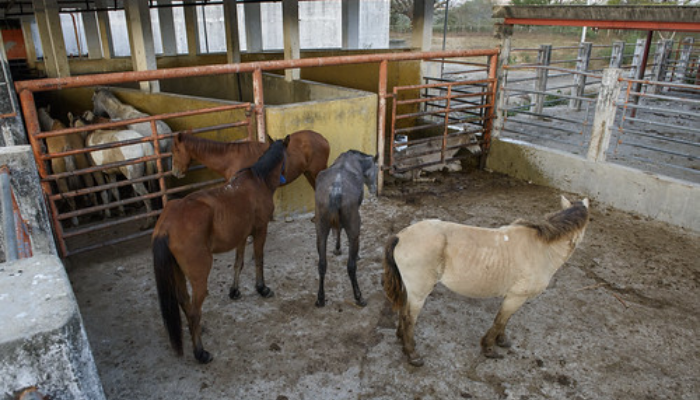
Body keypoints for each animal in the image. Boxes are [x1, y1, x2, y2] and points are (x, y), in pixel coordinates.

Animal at [152, 136, 289, 364]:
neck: (257, 180)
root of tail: (166, 224)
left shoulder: (241, 236)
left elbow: (238, 263)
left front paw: (234, 291)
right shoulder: (260, 230)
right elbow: (259, 259)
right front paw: (262, 288)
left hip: (177, 273)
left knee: (185, 303)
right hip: (199, 275)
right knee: (194, 311)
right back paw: (200, 352)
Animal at [171, 130, 330, 189]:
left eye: (176, 150)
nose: (175, 172)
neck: (230, 159)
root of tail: (323, 139)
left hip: (316, 171)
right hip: (308, 173)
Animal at [314, 150, 378, 307]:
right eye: (376, 169)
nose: (374, 189)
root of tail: (336, 190)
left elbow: (338, 229)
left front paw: (337, 248)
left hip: (320, 230)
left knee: (322, 264)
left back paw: (320, 298)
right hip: (354, 229)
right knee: (351, 266)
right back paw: (359, 297)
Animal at [383, 196, 590, 366]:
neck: (542, 249)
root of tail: (400, 236)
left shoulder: (513, 296)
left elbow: (505, 319)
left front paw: (502, 340)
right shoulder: (516, 296)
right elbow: (500, 320)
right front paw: (489, 348)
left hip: (410, 289)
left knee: (403, 311)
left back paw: (402, 339)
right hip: (420, 291)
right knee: (409, 318)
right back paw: (412, 354)